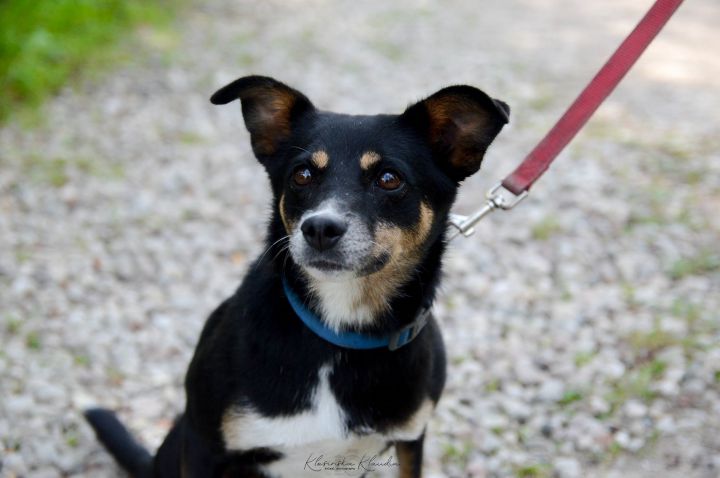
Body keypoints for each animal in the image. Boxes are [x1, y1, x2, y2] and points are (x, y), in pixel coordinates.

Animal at [85, 75, 509, 477]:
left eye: (389, 179)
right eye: (302, 174)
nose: (319, 228)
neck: (340, 334)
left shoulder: (410, 439)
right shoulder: (205, 446)